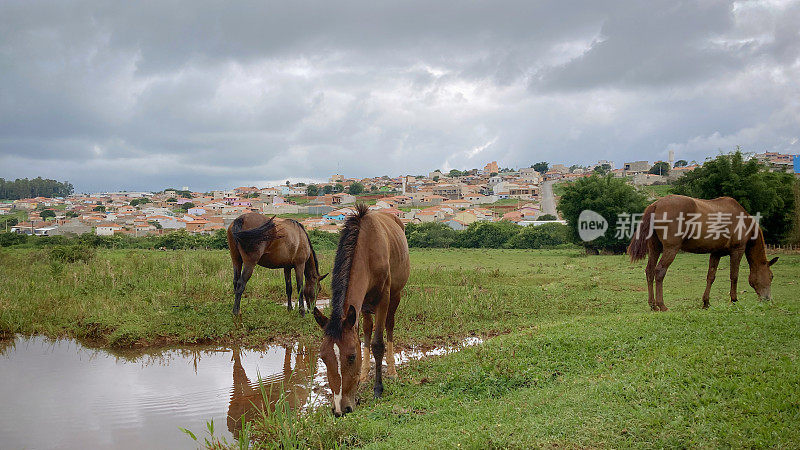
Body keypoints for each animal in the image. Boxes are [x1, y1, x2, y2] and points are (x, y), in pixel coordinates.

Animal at [312, 202, 412, 416]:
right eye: (322, 358)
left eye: (351, 357)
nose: (340, 409)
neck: (367, 251)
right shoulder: (361, 304)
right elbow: (364, 337)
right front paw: (363, 377)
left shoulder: (383, 299)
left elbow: (377, 344)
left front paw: (378, 389)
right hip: (365, 307)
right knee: (366, 329)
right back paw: (365, 374)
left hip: (395, 297)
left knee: (389, 326)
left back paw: (392, 371)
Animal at [632, 195, 776, 312]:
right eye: (771, 276)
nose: (768, 299)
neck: (743, 221)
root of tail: (656, 205)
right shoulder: (737, 251)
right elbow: (734, 276)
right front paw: (734, 300)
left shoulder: (716, 253)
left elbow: (710, 277)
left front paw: (706, 302)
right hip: (670, 249)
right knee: (659, 271)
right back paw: (661, 305)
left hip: (655, 249)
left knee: (650, 271)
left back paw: (653, 305)